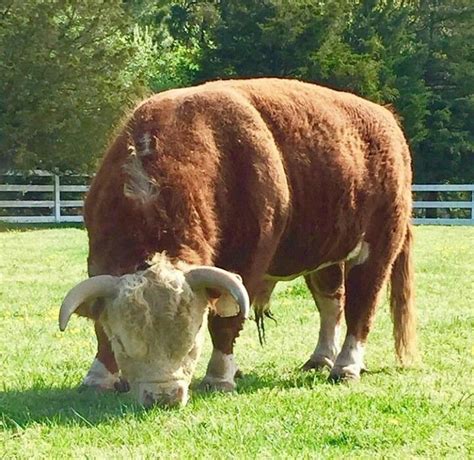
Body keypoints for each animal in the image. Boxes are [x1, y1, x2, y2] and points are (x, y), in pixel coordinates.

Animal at [58, 78, 414, 406]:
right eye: (123, 342)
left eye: (194, 342)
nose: (164, 396)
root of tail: (386, 118)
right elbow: (100, 326)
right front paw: (99, 376)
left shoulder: (247, 261)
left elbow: (226, 321)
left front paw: (219, 377)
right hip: (324, 253)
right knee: (332, 302)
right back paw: (320, 358)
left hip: (378, 245)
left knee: (361, 305)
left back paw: (346, 365)